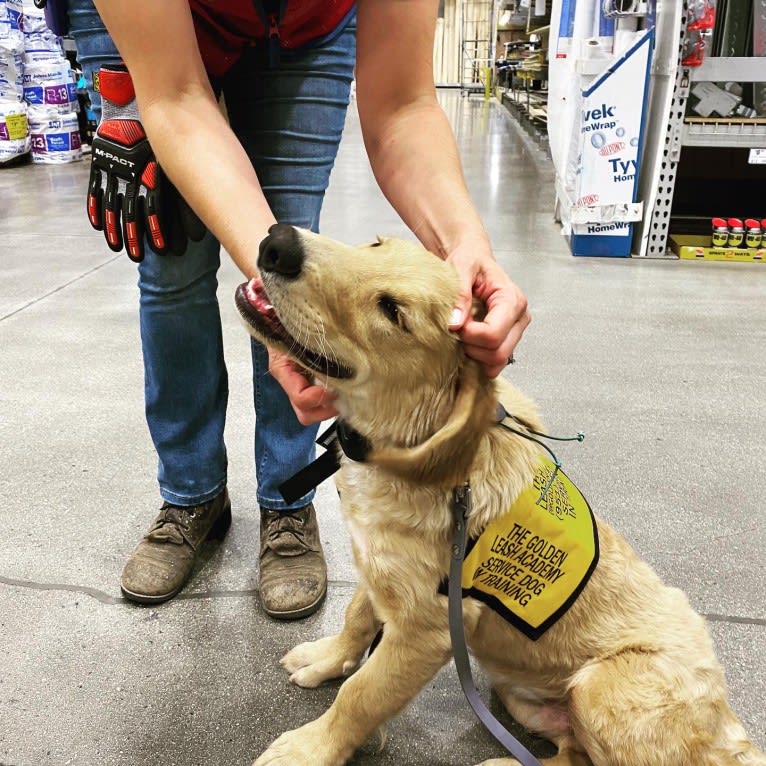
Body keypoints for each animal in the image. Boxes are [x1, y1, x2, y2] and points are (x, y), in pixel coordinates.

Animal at [237, 224, 764, 766]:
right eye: (375, 245)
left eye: (393, 312)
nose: (278, 241)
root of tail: (735, 740)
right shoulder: (377, 566)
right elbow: (357, 617)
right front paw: (329, 658)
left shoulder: (426, 633)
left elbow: (361, 695)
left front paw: (310, 748)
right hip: (521, 693)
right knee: (570, 751)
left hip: (599, 686)